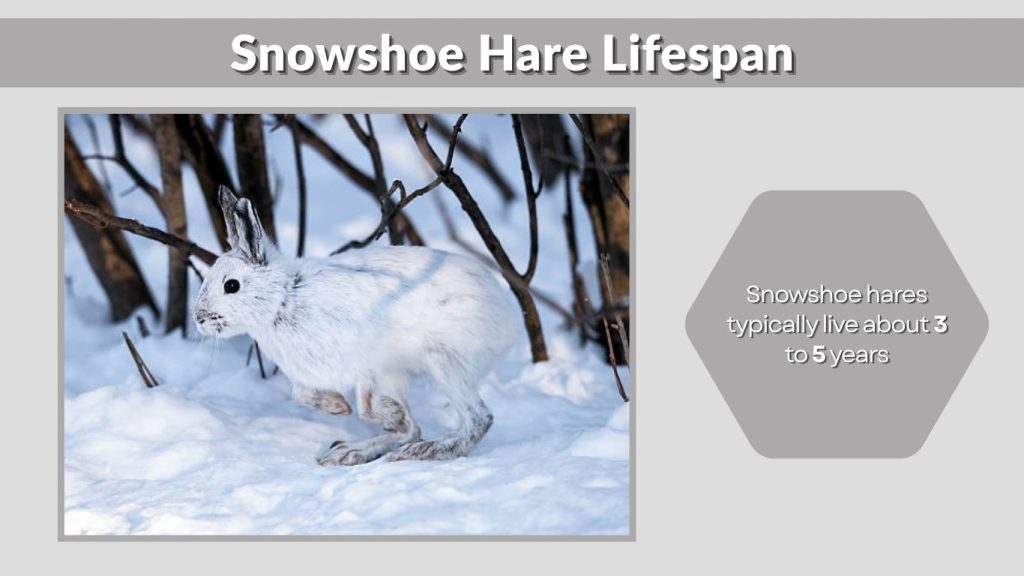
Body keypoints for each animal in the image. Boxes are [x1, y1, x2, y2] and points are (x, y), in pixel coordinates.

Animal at [193, 186, 520, 465]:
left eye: (231, 286)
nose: (199, 318)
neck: (284, 298)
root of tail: (507, 319)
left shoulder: (367, 364)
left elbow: (364, 405)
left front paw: (372, 412)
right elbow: (302, 394)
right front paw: (339, 407)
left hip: (446, 362)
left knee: (479, 420)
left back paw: (424, 450)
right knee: (415, 428)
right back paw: (352, 451)